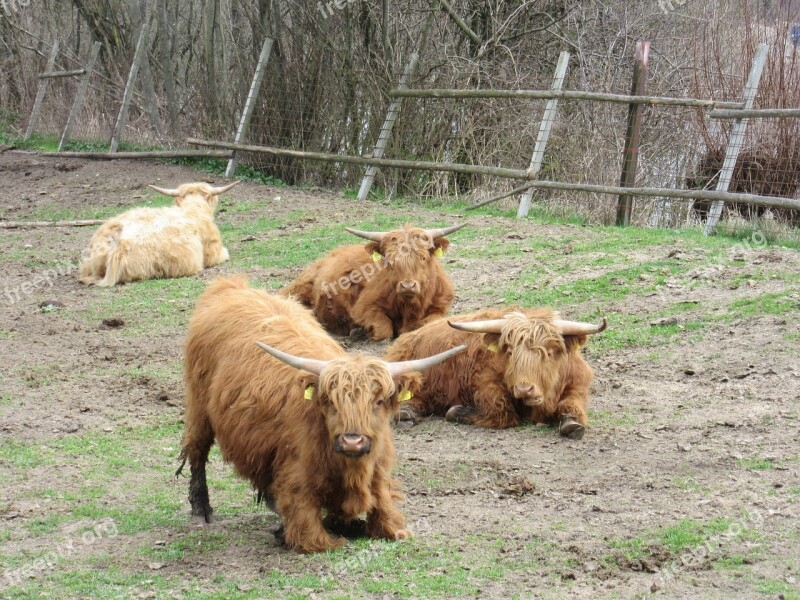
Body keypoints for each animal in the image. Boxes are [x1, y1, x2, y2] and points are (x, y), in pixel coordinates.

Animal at [175, 276, 462, 552]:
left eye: (379, 401)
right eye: (330, 402)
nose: (352, 441)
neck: (351, 470)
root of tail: (232, 286)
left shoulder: (378, 476)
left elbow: (384, 520)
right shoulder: (297, 481)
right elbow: (313, 534)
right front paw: (289, 533)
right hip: (198, 407)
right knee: (197, 451)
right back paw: (201, 511)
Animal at [282, 223, 466, 340]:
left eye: (422, 257)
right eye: (389, 260)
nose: (407, 286)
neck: (409, 306)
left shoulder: (441, 307)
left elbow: (427, 323)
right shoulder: (363, 307)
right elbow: (384, 329)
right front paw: (362, 331)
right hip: (298, 289)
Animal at [384, 308, 604, 438]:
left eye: (549, 353)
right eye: (510, 352)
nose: (524, 389)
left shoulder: (577, 385)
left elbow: (572, 404)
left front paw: (572, 423)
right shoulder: (485, 383)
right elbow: (501, 411)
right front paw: (459, 411)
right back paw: (406, 413)